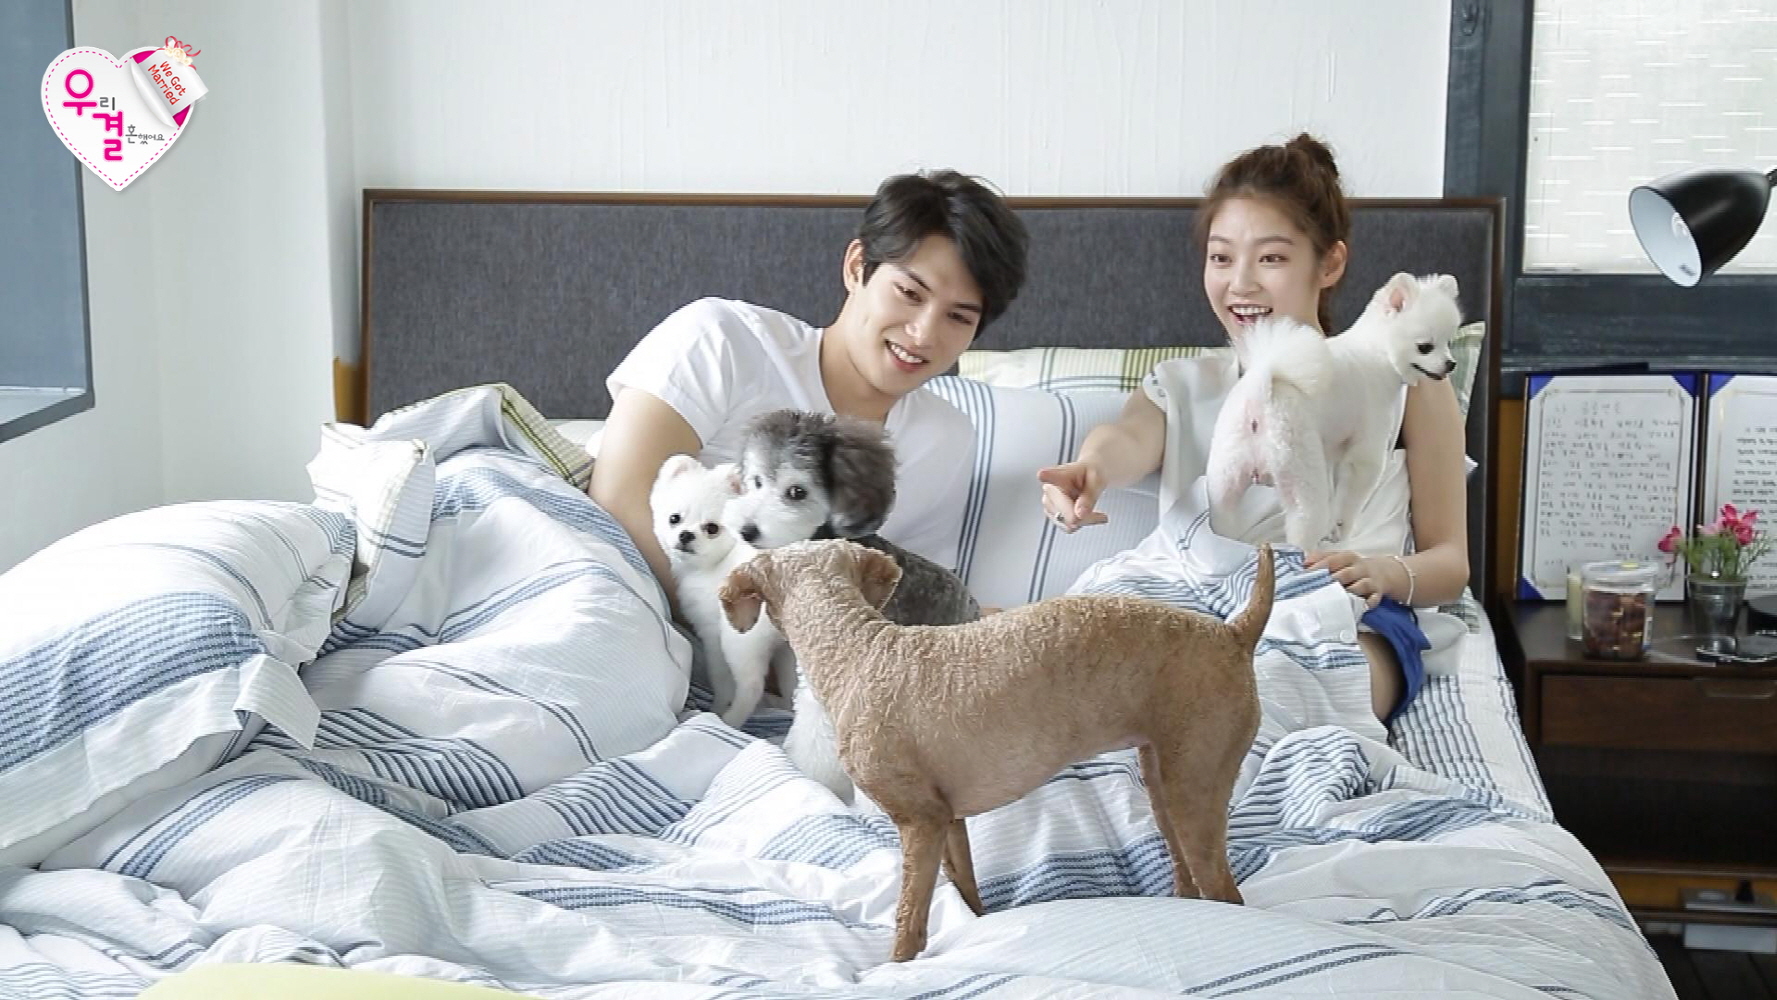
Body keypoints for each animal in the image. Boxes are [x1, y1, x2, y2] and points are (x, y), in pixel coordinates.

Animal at [648, 454, 792, 727]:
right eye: (674, 518)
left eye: (712, 528)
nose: (685, 535)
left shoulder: (712, 634)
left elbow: (722, 680)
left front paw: (717, 705)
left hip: (740, 639)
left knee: (751, 686)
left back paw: (732, 720)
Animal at [719, 538, 1272, 962]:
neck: (856, 649)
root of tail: (1233, 632)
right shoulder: (946, 819)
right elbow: (964, 888)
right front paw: (974, 923)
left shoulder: (919, 821)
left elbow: (908, 918)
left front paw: (895, 967)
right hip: (1164, 776)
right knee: (1188, 875)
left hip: (1196, 782)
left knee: (1227, 894)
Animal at [1207, 272, 1463, 551]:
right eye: (1425, 347)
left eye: (1449, 343)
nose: (1451, 364)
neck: (1377, 352)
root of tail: (1262, 391)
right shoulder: (1366, 454)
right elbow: (1349, 503)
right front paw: (1342, 532)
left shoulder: (1331, 452)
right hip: (1300, 473)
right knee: (1305, 521)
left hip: (1225, 474)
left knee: (1223, 515)